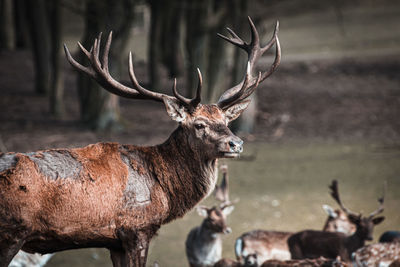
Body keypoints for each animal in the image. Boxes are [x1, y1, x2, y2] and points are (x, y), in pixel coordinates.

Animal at [0, 17, 282, 267]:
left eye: (226, 120)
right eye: (199, 124)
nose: (236, 143)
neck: (165, 191)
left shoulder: (113, 241)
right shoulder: (136, 228)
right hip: (11, 232)